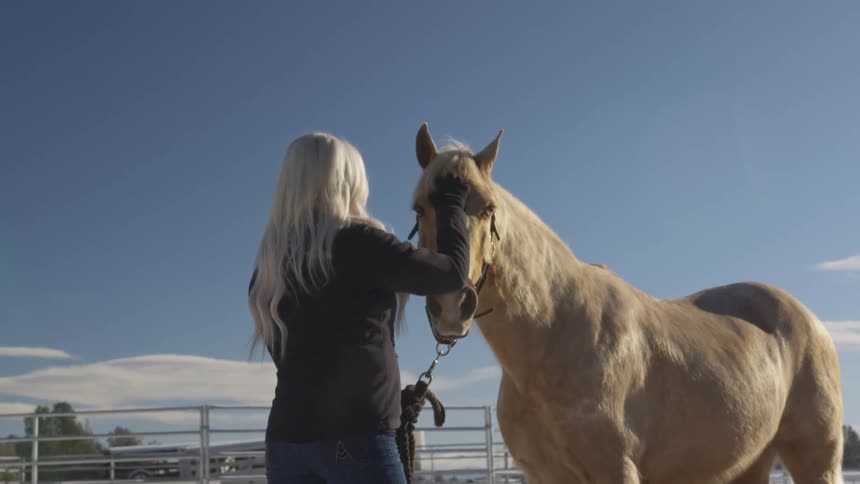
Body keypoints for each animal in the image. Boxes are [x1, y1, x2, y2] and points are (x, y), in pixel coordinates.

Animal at [408, 123, 844, 484]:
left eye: (488, 207)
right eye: (419, 207)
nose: (451, 305)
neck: (554, 335)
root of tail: (811, 322)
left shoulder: (614, 468)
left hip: (817, 460)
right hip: (749, 462)